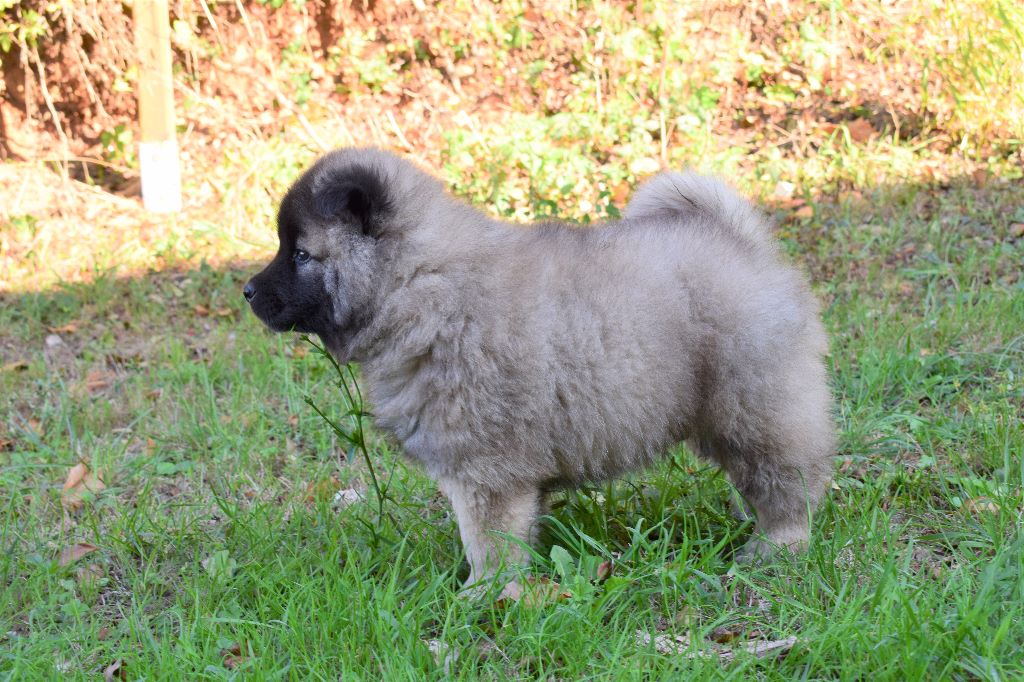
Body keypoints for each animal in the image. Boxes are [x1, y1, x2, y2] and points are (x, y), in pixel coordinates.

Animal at [245, 147, 835, 590]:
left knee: (786, 482)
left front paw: (482, 597)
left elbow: (487, 543)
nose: (247, 290)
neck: (418, 283)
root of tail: (742, 243)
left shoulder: (486, 472)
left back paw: (777, 548)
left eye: (300, 254)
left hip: (755, 405)